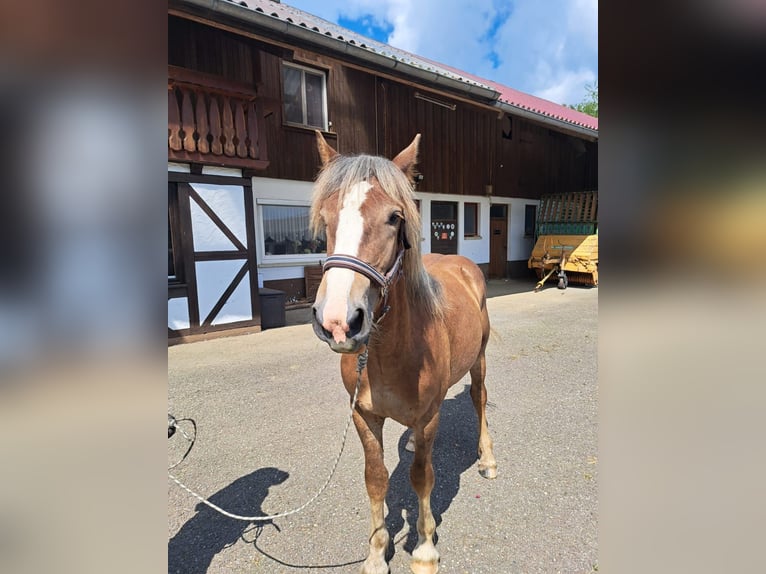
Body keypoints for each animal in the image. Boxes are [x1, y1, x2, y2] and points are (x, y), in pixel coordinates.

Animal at [312, 134, 498, 574]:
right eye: (325, 219)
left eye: (395, 218)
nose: (339, 321)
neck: (388, 354)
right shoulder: (364, 416)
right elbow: (376, 478)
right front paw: (376, 552)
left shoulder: (429, 415)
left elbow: (421, 478)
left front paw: (425, 548)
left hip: (479, 361)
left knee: (479, 399)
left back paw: (487, 459)